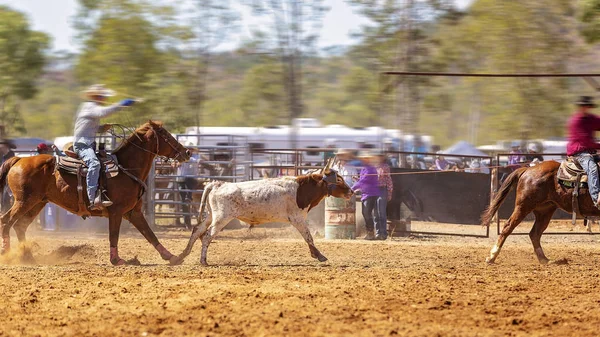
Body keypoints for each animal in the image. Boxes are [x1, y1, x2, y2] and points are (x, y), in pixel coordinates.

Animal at [0, 121, 190, 266]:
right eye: (166, 135)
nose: (187, 152)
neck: (126, 168)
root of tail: (19, 159)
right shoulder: (116, 212)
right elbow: (114, 235)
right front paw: (116, 260)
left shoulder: (133, 212)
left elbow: (150, 234)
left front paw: (172, 257)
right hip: (24, 201)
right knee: (6, 221)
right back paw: (7, 255)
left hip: (38, 202)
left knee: (20, 225)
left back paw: (28, 257)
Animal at [172, 160, 352, 266]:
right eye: (339, 179)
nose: (351, 191)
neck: (300, 189)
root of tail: (218, 184)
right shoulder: (297, 219)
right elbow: (308, 236)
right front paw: (319, 255)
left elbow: (308, 237)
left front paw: (315, 254)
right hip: (221, 218)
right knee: (207, 236)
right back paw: (203, 261)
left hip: (211, 215)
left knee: (197, 230)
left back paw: (181, 256)